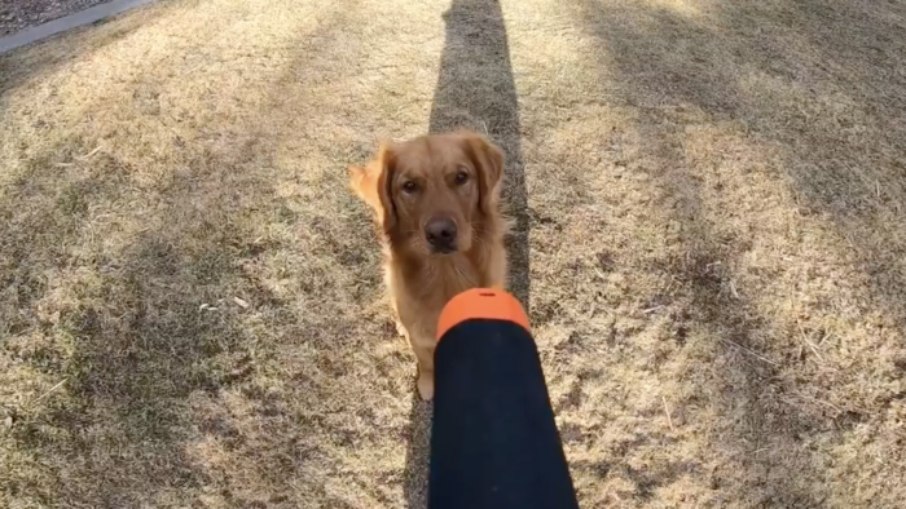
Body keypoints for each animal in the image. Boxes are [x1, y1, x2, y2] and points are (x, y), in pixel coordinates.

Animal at [348, 129, 508, 398]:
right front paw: (428, 383)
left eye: (461, 177)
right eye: (409, 186)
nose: (441, 233)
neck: (446, 274)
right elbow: (425, 360)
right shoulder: (421, 337)